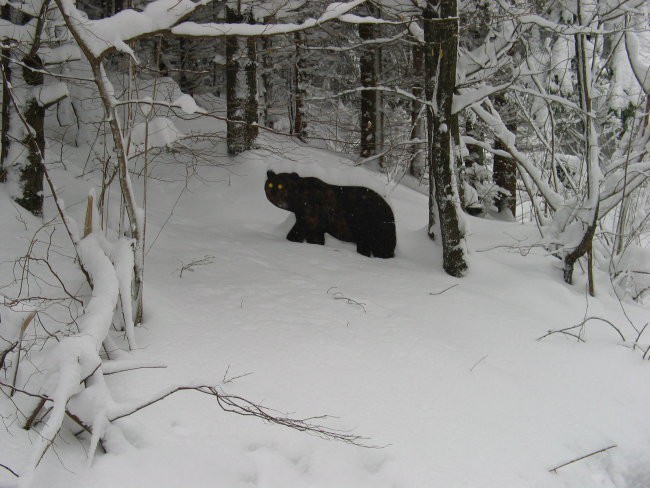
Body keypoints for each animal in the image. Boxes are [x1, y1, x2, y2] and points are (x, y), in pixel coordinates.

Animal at [264, 170, 394, 258]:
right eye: (270, 184)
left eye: (281, 185)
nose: (273, 192)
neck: (298, 201)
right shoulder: (315, 224)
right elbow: (315, 237)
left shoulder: (310, 216)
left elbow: (298, 231)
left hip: (374, 231)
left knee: (382, 249)